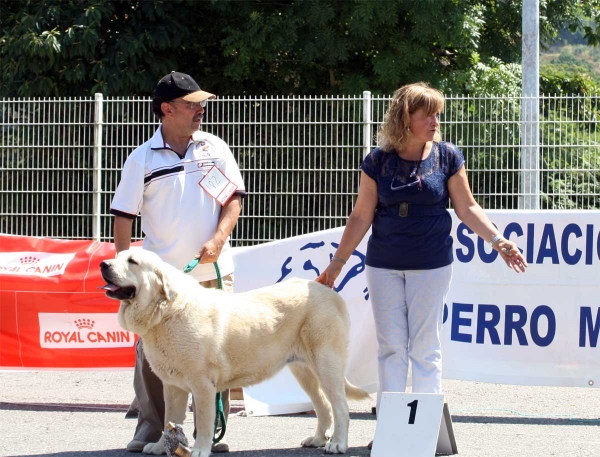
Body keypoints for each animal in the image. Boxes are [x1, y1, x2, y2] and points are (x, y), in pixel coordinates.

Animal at [101, 249, 368, 456]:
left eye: (132, 261)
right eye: (118, 256)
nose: (104, 264)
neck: (165, 310)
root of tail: (328, 291)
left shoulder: (202, 384)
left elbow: (205, 420)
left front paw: (199, 450)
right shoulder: (173, 386)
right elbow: (170, 420)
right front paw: (159, 446)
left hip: (326, 363)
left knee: (339, 406)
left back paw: (337, 444)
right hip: (303, 369)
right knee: (323, 404)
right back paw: (318, 440)